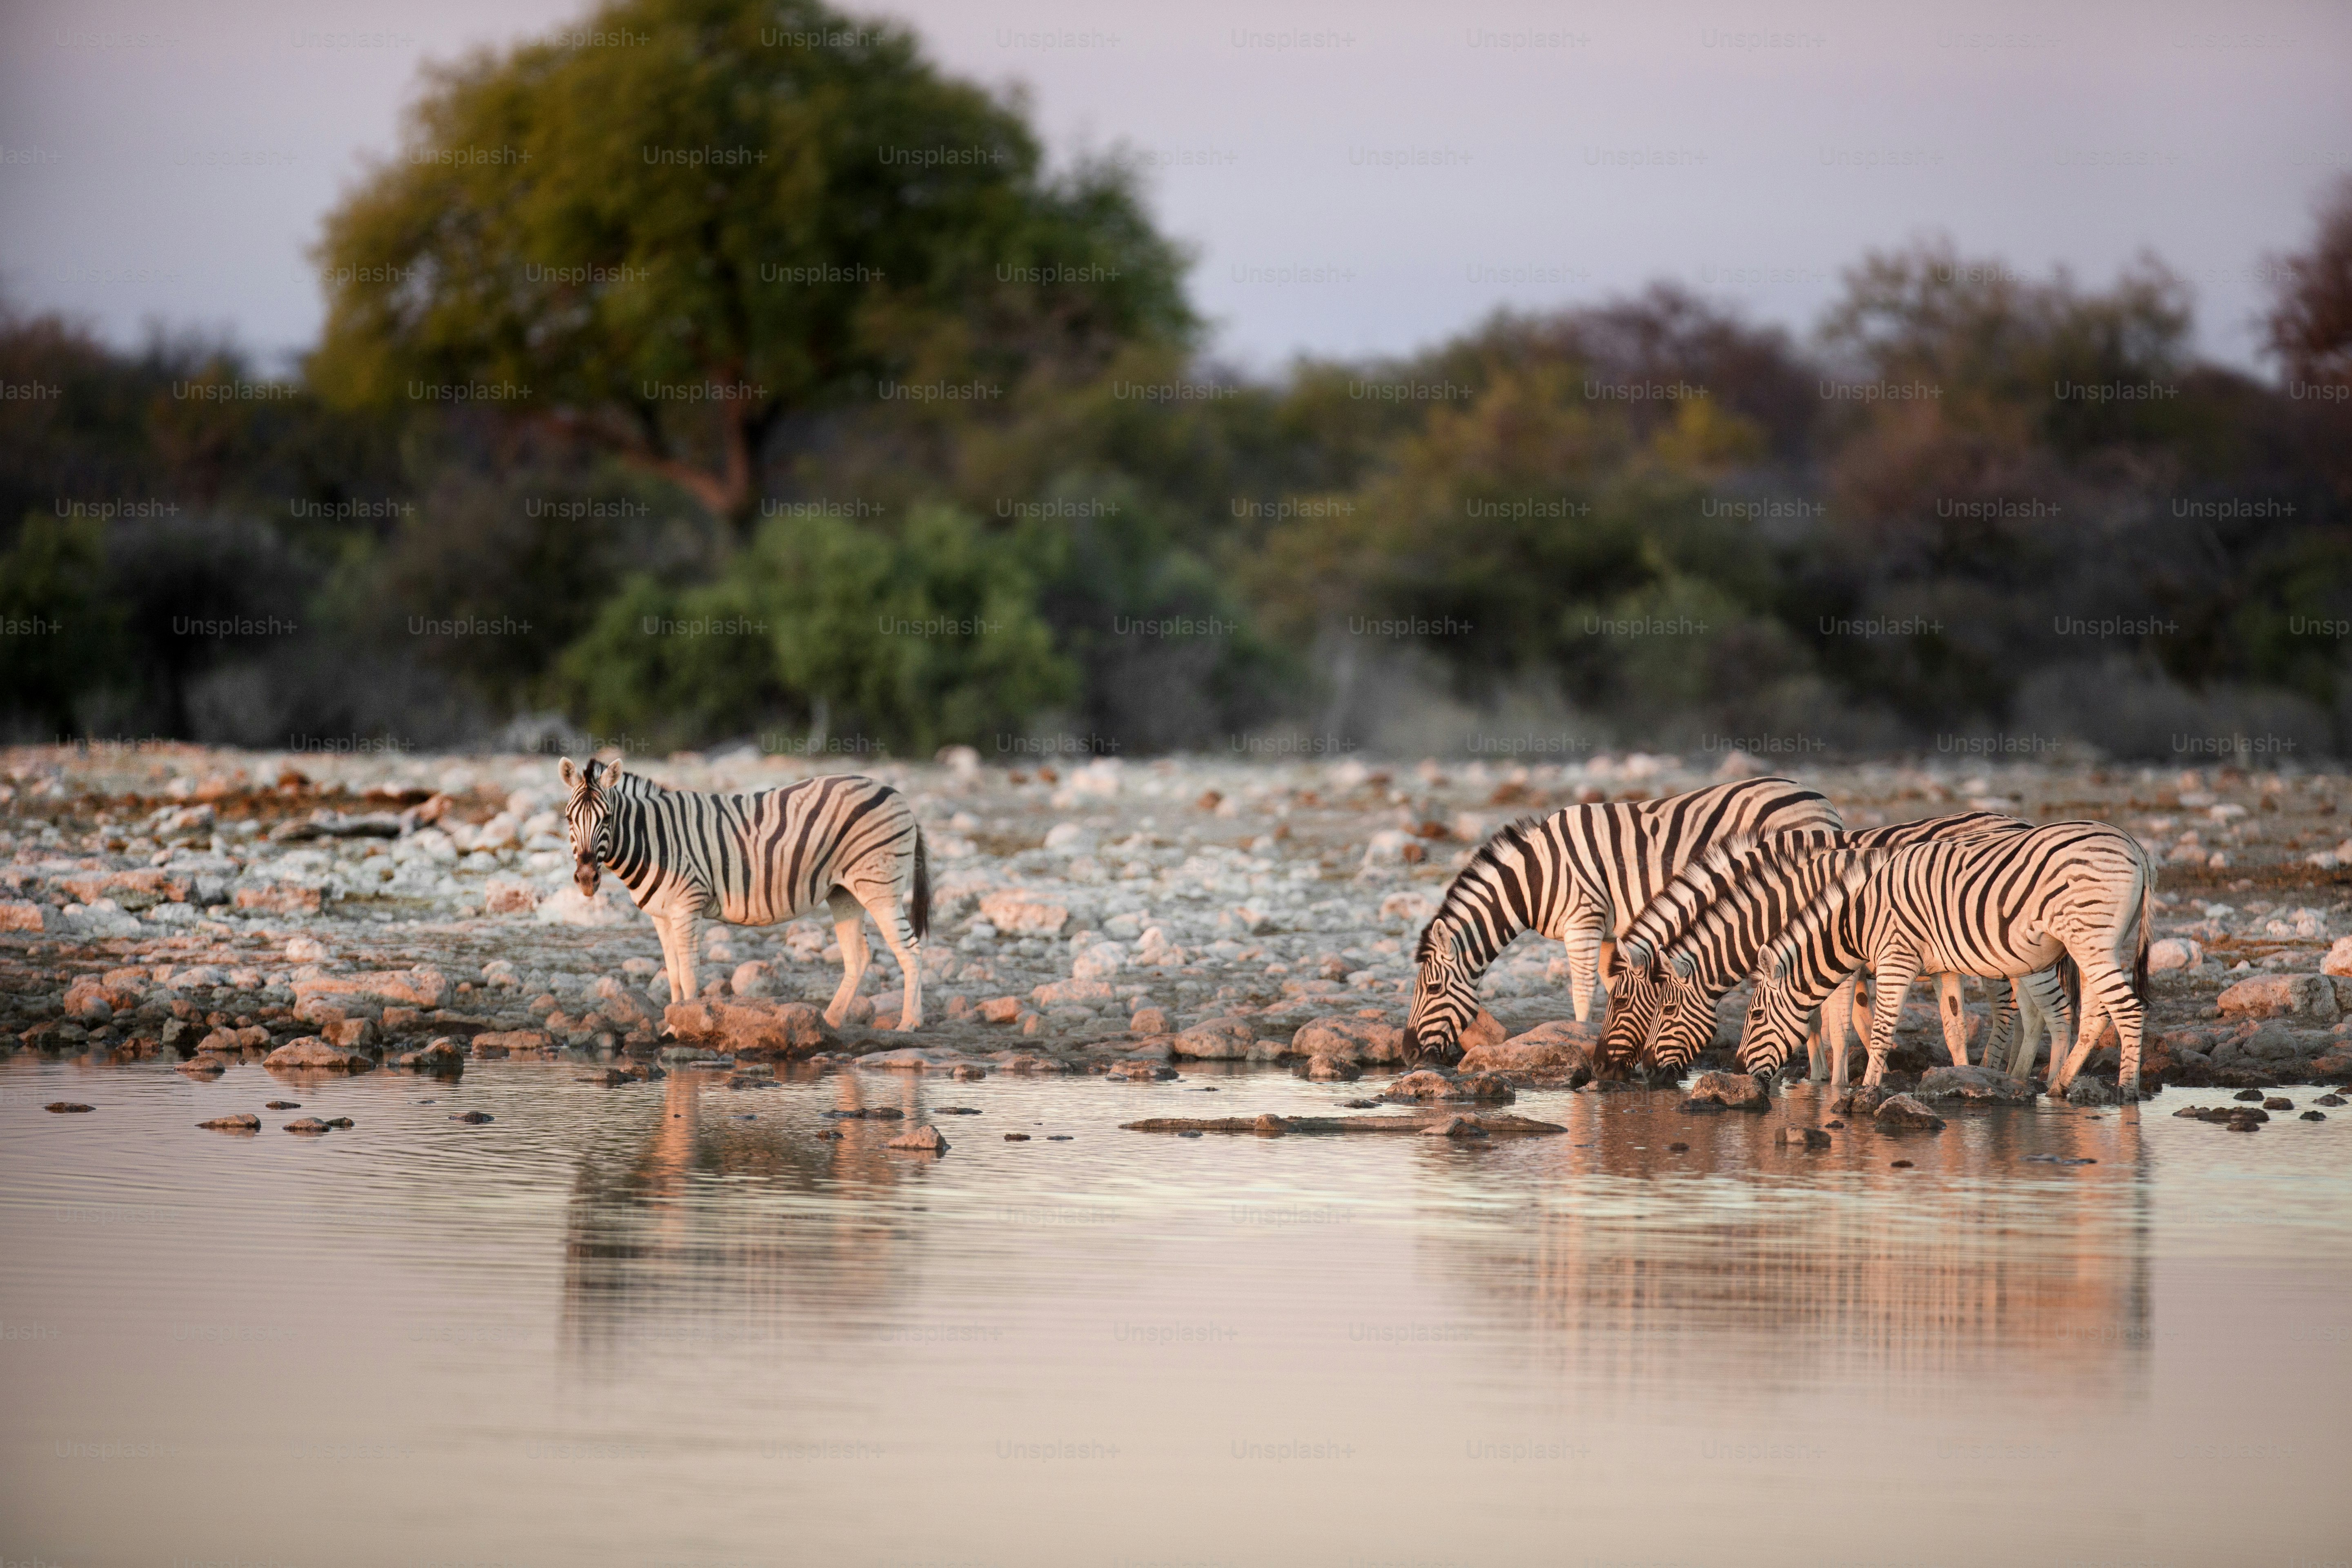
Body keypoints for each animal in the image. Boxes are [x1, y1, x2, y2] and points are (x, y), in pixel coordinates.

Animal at [558, 757, 930, 1030]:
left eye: (607, 818)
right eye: (569, 819)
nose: (587, 879)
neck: (654, 839)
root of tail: (896, 793)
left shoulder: (687, 906)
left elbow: (689, 973)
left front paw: (683, 1027)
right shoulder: (661, 916)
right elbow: (674, 974)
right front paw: (673, 1021)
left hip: (879, 886)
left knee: (909, 949)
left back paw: (909, 1023)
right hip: (844, 892)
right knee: (859, 956)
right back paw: (830, 1021)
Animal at [1405, 776, 1843, 1065]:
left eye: (1431, 988)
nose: (1408, 1055)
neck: (1534, 878)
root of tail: (1822, 800)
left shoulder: (1583, 920)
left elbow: (1582, 991)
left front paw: (1577, 1039)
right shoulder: (1607, 933)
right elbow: (1613, 984)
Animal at [1599, 814, 2052, 1083]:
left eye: (1623, 1003)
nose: (1605, 1067)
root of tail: (2017, 820)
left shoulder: (1837, 958)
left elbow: (1837, 1025)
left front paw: (1834, 1084)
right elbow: (1821, 1020)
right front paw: (1821, 1078)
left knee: (2010, 1009)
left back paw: (1999, 1071)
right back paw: (2011, 1075)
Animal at [1738, 822, 2156, 1095]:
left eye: (1755, 1015)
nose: (1742, 1068)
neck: (1856, 921)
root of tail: (2135, 845)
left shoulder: (1896, 957)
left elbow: (1881, 1029)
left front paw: (1866, 1091)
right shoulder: (1941, 969)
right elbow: (1952, 1027)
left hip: (2088, 940)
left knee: (2127, 1010)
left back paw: (2127, 1092)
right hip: (2092, 946)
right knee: (2096, 1015)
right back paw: (2059, 1086)